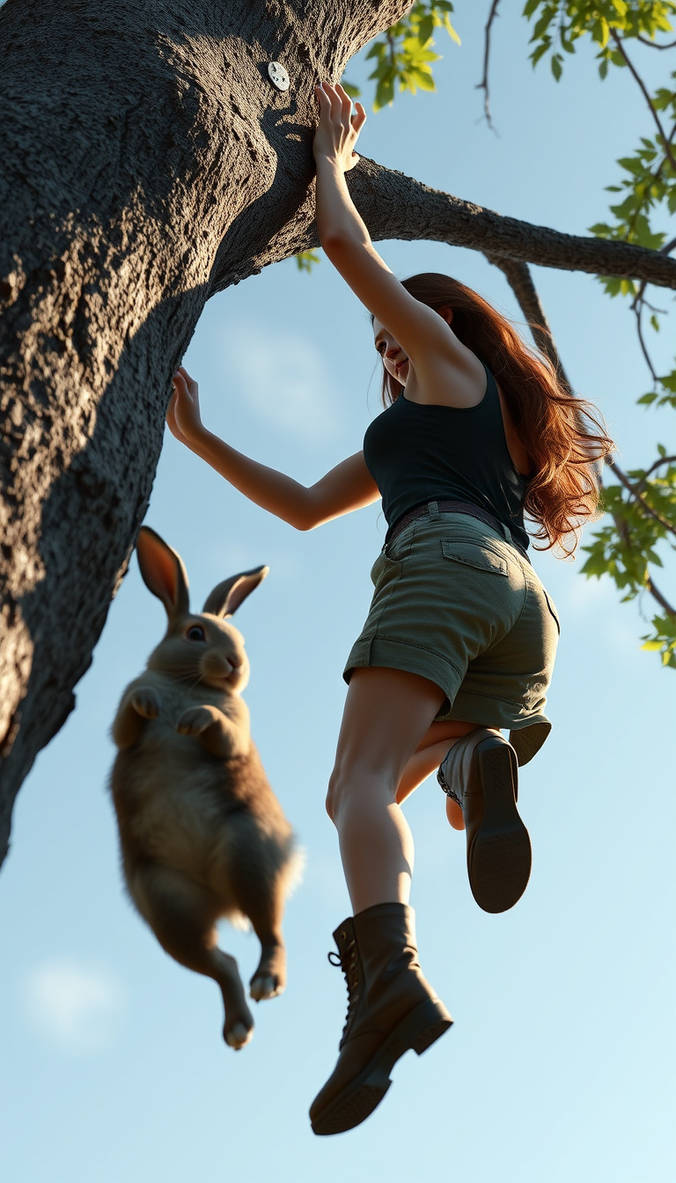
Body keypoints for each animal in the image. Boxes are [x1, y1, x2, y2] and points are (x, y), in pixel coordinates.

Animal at [109, 525, 301, 1051]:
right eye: (195, 634)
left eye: (239, 638)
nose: (235, 664)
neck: (192, 684)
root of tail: (222, 901)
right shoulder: (121, 727)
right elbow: (126, 723)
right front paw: (150, 703)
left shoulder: (236, 728)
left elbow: (222, 730)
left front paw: (193, 721)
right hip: (169, 904)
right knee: (221, 964)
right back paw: (237, 1028)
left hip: (248, 852)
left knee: (270, 935)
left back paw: (266, 985)